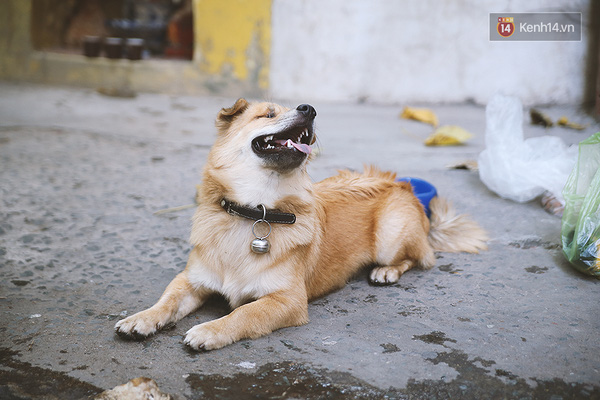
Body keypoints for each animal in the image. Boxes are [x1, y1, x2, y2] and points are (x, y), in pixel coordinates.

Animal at [113, 100, 488, 350]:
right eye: (268, 114)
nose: (309, 108)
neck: (255, 211)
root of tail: (399, 183)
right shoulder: (191, 280)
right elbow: (168, 299)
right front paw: (141, 318)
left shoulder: (287, 301)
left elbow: (244, 314)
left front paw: (210, 330)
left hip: (390, 236)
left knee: (419, 258)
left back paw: (387, 271)